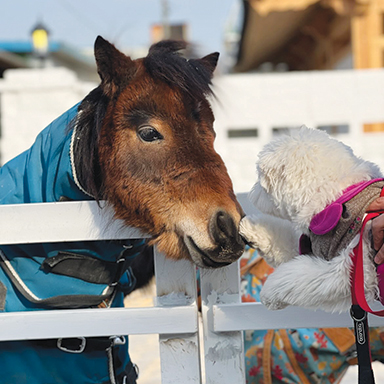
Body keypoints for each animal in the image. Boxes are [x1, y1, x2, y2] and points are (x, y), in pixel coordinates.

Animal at [240, 127, 384, 314]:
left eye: (260, 180)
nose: (250, 194)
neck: (337, 198)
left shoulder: (350, 269)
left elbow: (295, 277)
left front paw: (268, 294)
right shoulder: (312, 247)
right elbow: (286, 242)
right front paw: (251, 227)